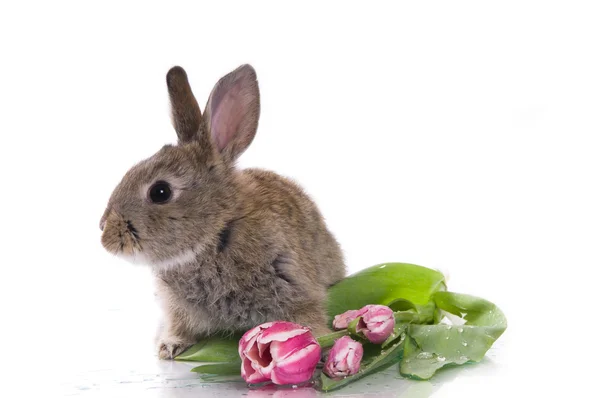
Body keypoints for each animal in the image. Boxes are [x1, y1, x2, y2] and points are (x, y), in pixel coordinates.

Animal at [99, 63, 346, 360]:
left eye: (160, 192)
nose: (105, 235)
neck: (219, 230)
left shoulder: (294, 285)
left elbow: (308, 317)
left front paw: (321, 343)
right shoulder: (177, 308)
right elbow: (180, 326)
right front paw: (169, 346)